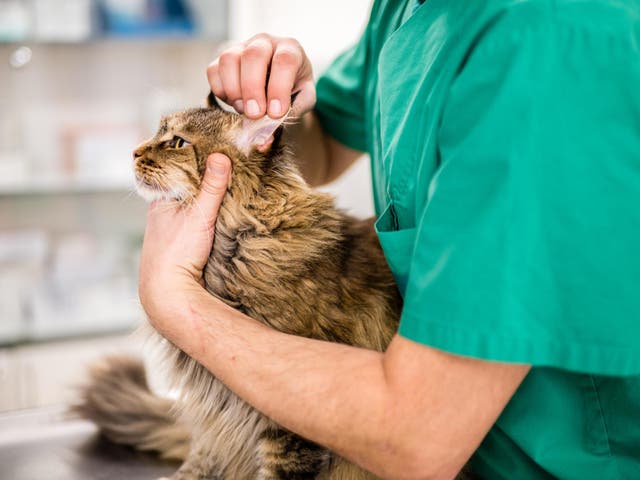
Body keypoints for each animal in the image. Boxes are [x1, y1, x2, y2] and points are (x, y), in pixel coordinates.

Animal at [76, 94, 404, 480]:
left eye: (177, 143)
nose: (134, 151)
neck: (236, 251)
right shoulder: (220, 413)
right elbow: (201, 456)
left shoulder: (290, 421)